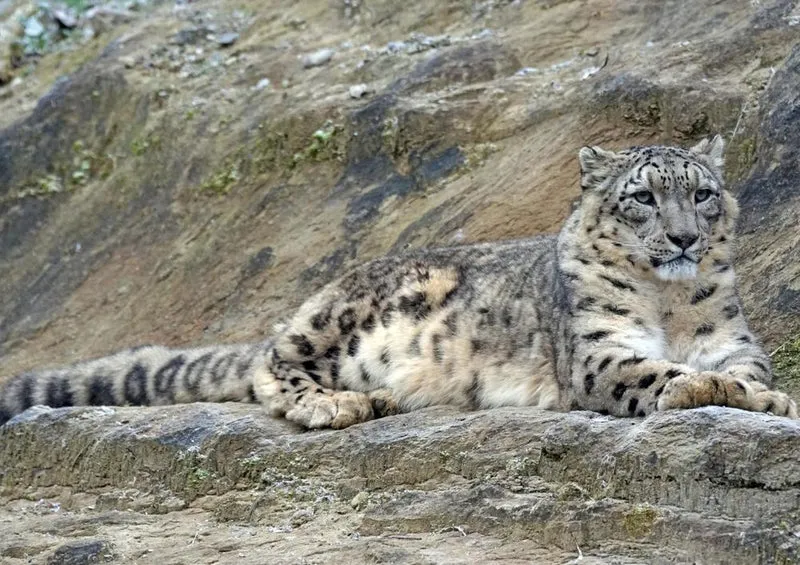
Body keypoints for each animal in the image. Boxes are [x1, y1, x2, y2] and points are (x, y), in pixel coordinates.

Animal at [1, 135, 796, 429]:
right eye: (643, 197)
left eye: (701, 193)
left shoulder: (733, 338)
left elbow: (740, 368)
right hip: (338, 313)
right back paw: (338, 403)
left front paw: (755, 391)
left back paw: (382, 396)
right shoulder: (598, 351)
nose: (684, 237)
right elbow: (660, 372)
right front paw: (725, 392)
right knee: (270, 362)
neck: (669, 302)